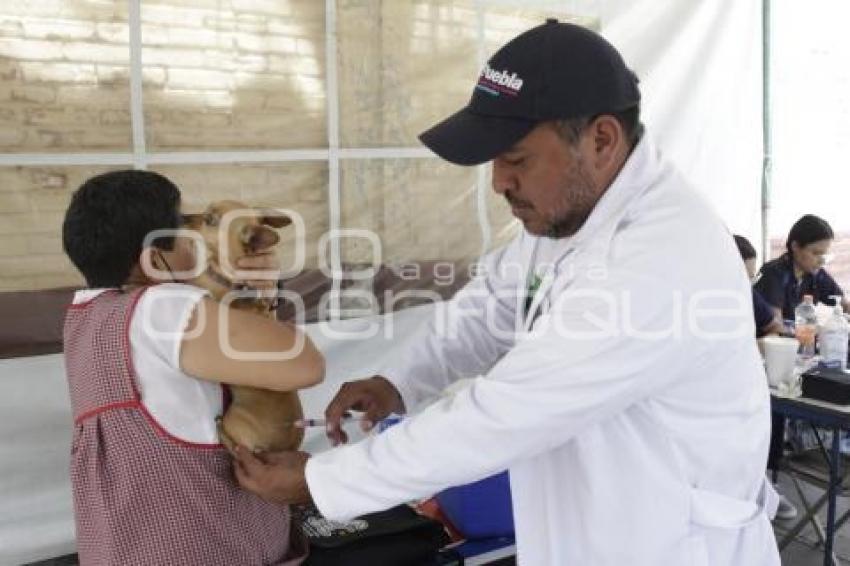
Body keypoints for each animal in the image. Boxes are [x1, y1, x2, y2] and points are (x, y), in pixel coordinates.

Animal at [182, 202, 304, 454]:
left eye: (210, 220)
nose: (181, 217)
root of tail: (282, 450)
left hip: (235, 419)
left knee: (234, 445)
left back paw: (220, 428)